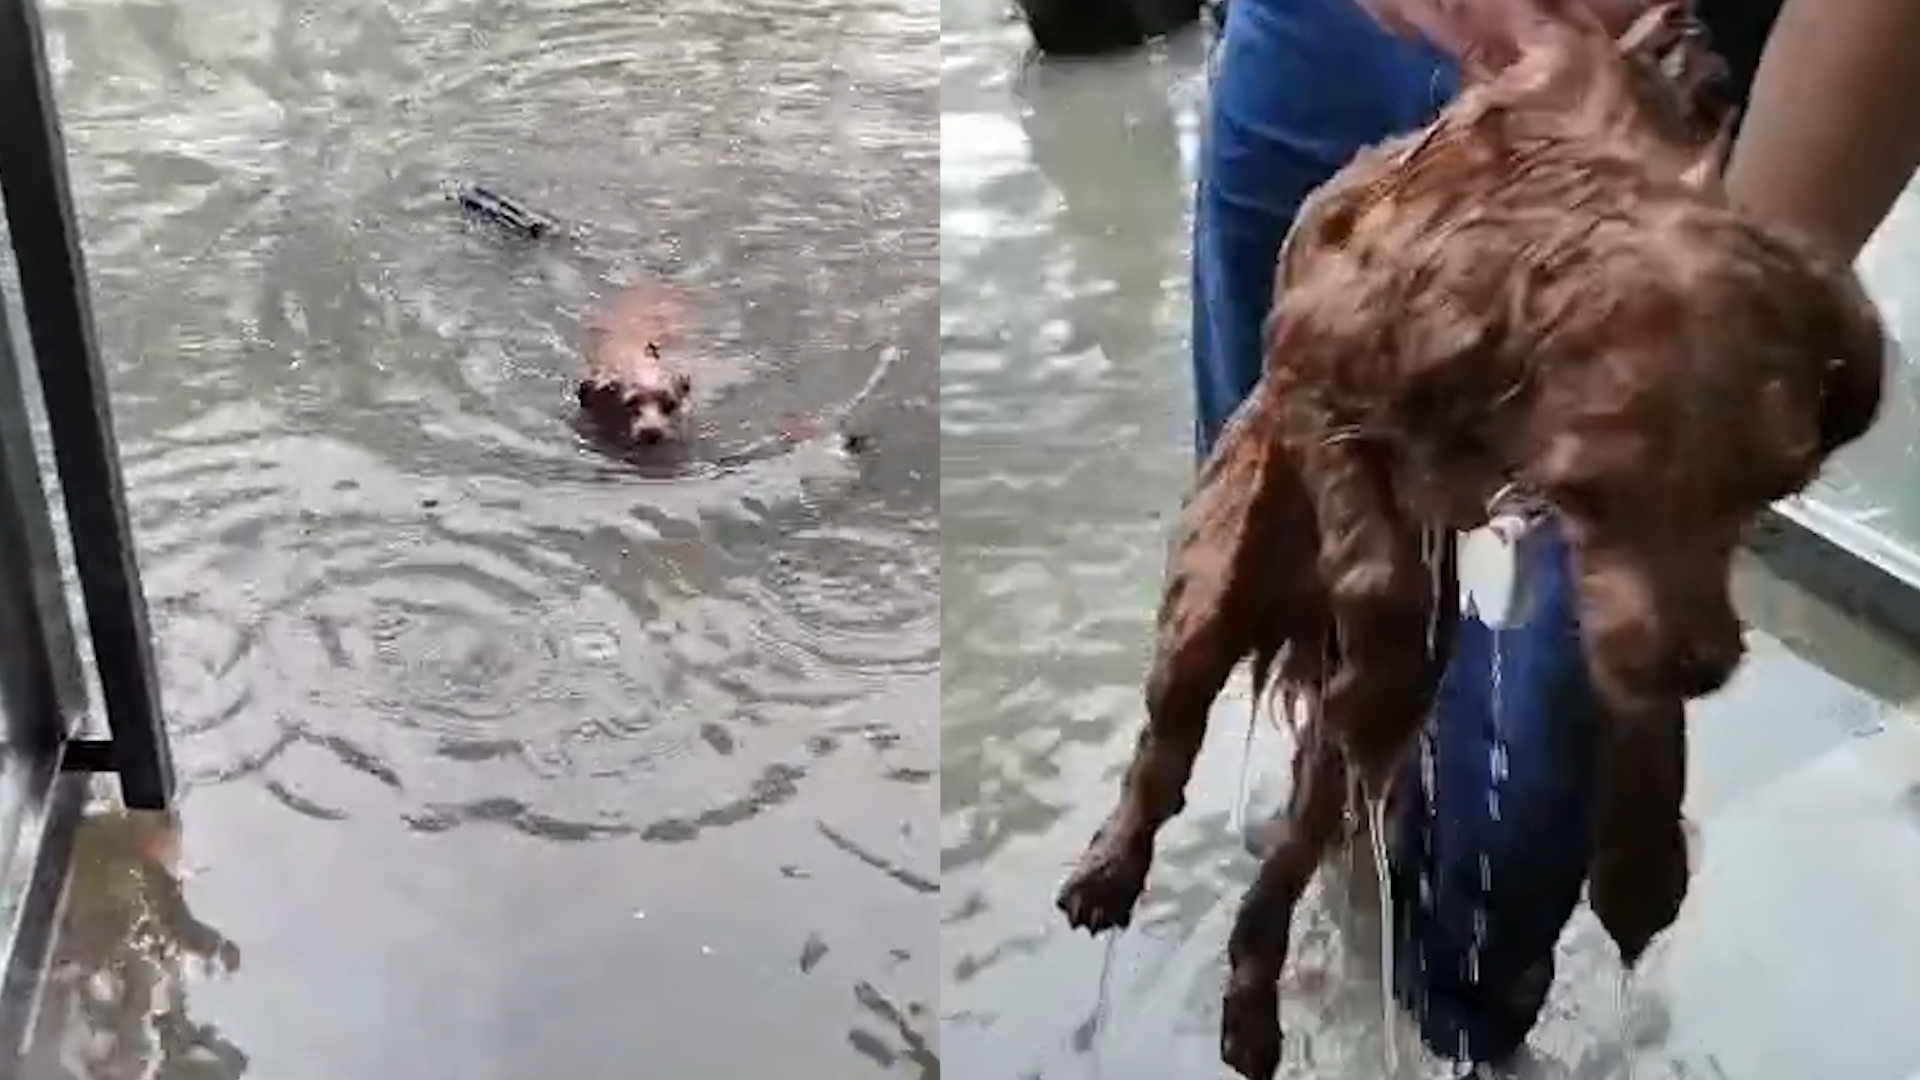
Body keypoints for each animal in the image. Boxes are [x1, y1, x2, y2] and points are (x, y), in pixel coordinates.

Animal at [1059, 4, 1881, 1068]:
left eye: (1769, 487)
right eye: (1588, 485)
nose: (1701, 666)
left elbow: (1629, 682)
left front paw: (1644, 858)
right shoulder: (1314, 355)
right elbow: (1379, 560)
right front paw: (1385, 668)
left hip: (1322, 771)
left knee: (1286, 867)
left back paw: (1251, 1009)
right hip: (1212, 601)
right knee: (1167, 746)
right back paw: (1112, 873)